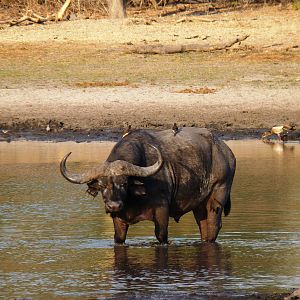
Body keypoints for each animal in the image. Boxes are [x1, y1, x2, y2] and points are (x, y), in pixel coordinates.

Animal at [60, 126, 234, 244]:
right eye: (102, 186)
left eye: (124, 183)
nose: (113, 206)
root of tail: (226, 151)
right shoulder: (118, 219)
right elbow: (119, 237)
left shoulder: (162, 211)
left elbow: (161, 235)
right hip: (199, 205)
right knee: (203, 226)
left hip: (219, 194)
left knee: (213, 225)